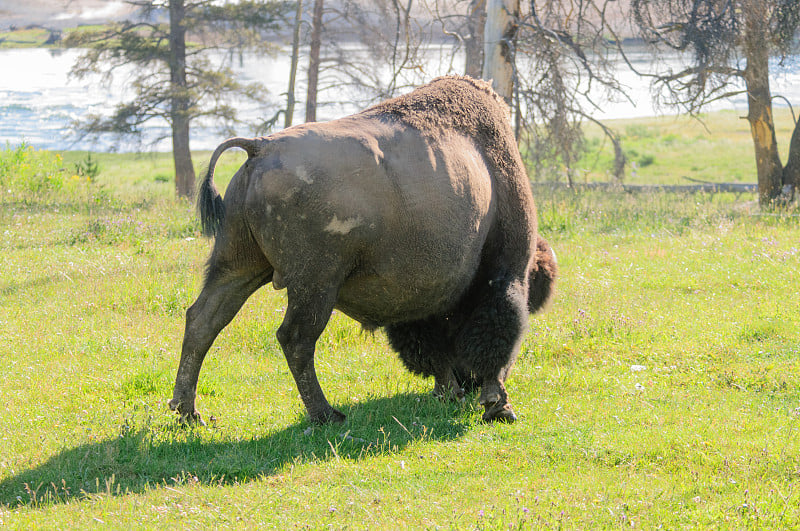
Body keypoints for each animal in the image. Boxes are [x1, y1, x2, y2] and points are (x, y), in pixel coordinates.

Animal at [169, 75, 556, 426]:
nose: (468, 385)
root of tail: (260, 149)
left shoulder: (423, 296)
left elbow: (434, 346)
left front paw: (451, 392)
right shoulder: (502, 274)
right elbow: (494, 338)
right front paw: (498, 406)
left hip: (236, 265)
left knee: (203, 320)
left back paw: (188, 412)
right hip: (315, 283)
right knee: (295, 338)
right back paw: (326, 415)